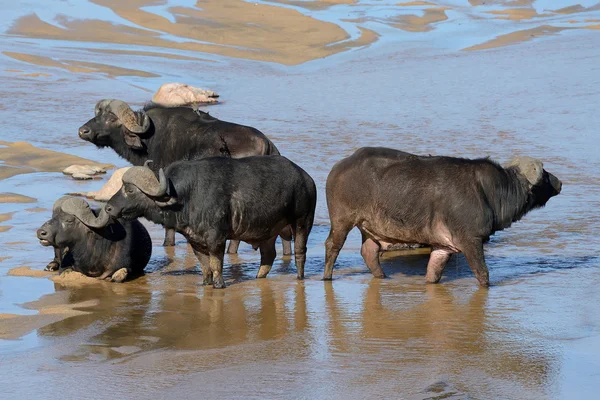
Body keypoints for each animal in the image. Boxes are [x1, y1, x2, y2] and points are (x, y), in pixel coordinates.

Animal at [77, 99, 290, 255]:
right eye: (98, 115)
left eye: (111, 119)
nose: (83, 131)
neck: (151, 137)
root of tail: (266, 143)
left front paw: (167, 243)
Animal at [105, 155, 316, 288]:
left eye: (130, 190)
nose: (109, 208)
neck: (186, 196)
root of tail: (307, 179)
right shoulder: (195, 240)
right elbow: (204, 265)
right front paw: (206, 283)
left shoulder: (217, 238)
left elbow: (216, 263)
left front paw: (218, 284)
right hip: (268, 232)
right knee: (269, 255)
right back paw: (259, 277)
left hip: (302, 222)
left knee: (300, 252)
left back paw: (299, 277)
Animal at [324, 147, 564, 288]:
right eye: (545, 175)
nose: (560, 182)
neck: (492, 192)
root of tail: (339, 166)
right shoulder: (471, 240)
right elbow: (482, 273)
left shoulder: (443, 248)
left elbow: (433, 272)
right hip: (342, 221)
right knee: (332, 247)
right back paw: (327, 276)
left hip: (369, 230)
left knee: (369, 252)